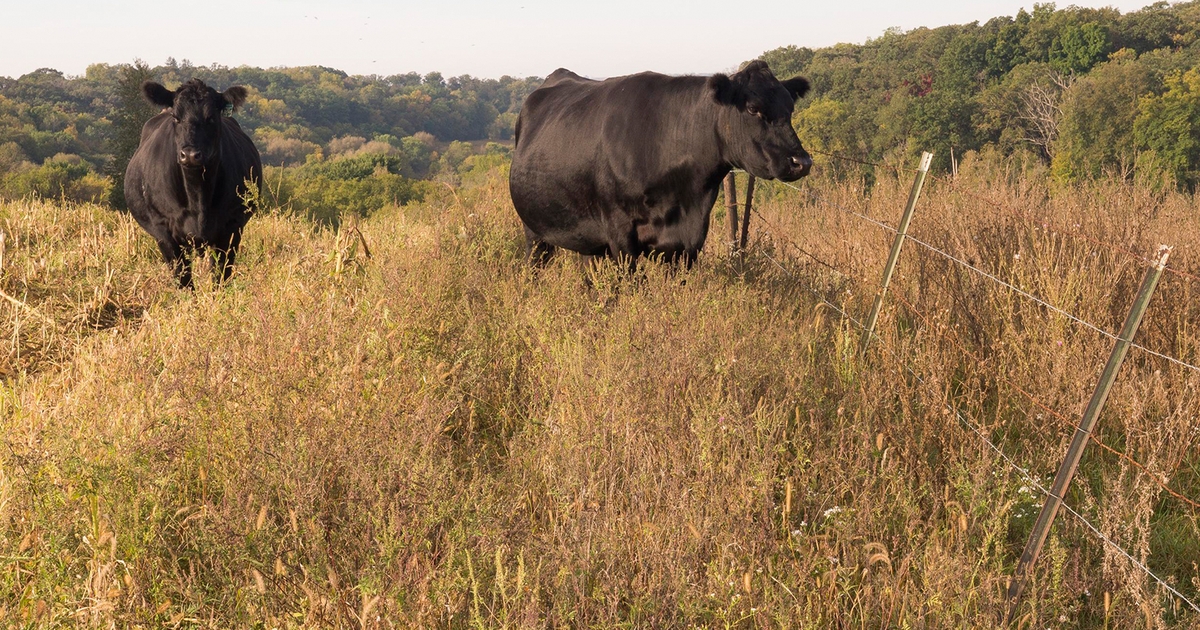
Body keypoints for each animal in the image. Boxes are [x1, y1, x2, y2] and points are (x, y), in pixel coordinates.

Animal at [124, 79, 262, 288]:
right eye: (176, 117)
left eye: (211, 117)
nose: (190, 155)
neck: (198, 195)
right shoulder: (164, 232)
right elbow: (183, 279)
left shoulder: (232, 227)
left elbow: (220, 275)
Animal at [509, 60, 812, 269]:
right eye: (752, 109)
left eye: (790, 108)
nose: (801, 161)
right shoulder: (620, 234)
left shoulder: (689, 240)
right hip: (534, 230)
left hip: (588, 241)